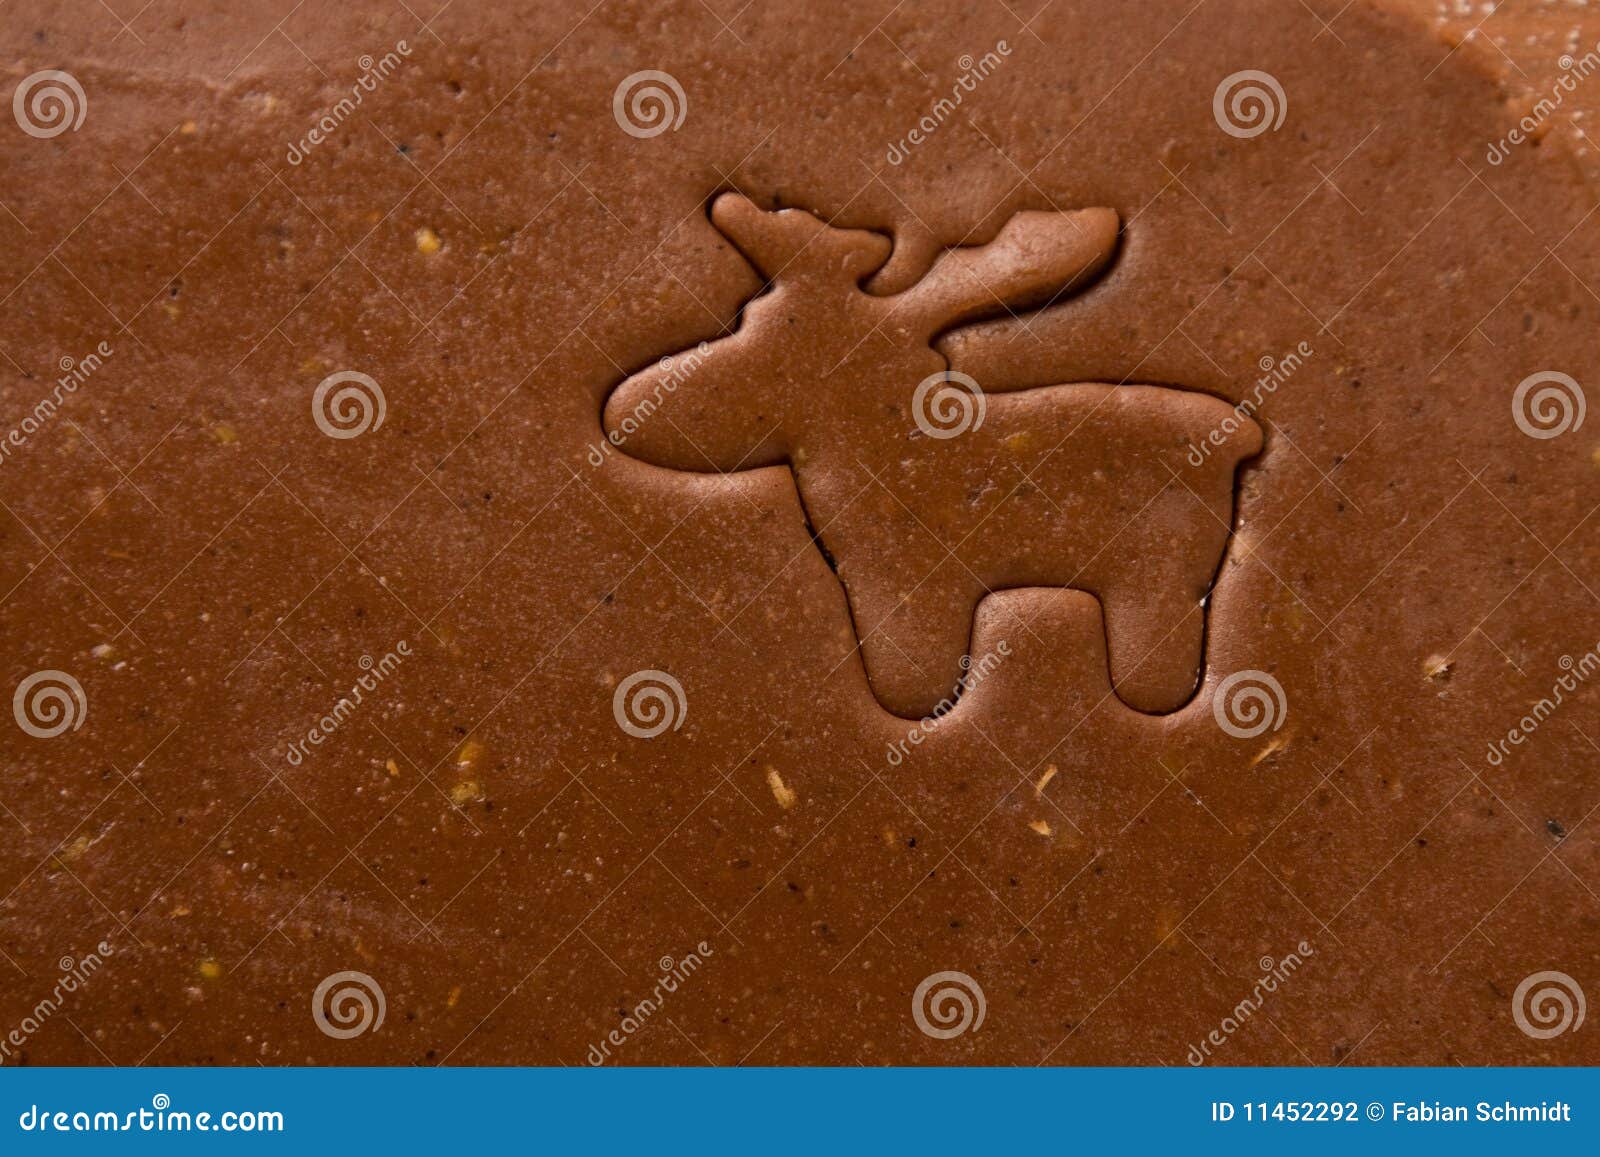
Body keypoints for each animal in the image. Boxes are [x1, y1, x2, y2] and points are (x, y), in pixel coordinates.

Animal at [601, 192, 1262, 721]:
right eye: (744, 316)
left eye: (763, 340)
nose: (621, 414)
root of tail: (1241, 439)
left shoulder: (907, 584)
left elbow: (910, 672)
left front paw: (917, 702)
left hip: (1158, 575)